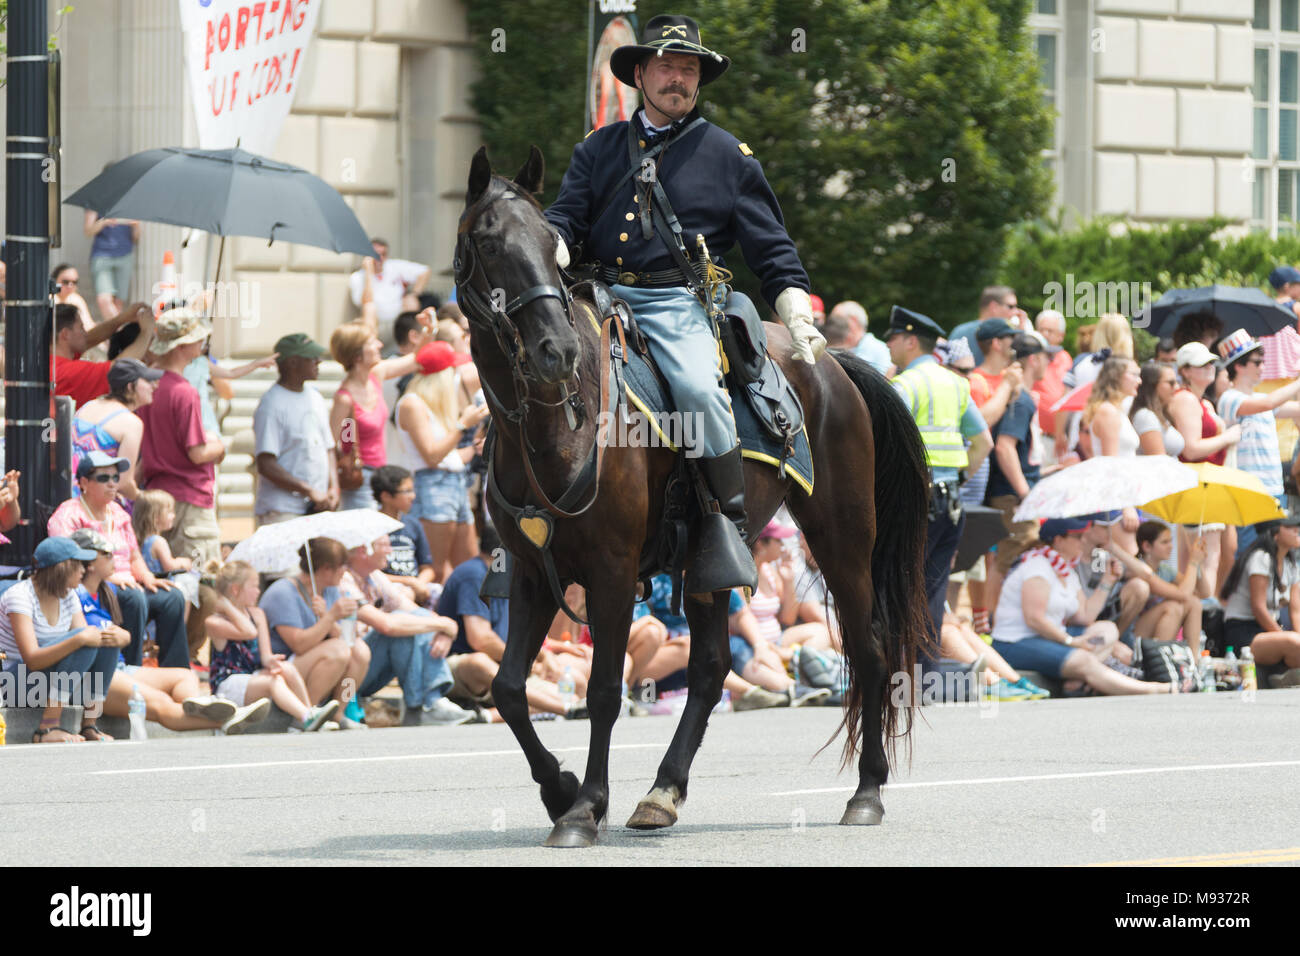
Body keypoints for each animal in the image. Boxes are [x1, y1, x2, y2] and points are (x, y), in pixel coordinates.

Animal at [457, 145, 935, 848]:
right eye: (489, 243)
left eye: (550, 244)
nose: (556, 351)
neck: (555, 427)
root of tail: (833, 365)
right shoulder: (531, 570)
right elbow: (509, 688)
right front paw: (560, 789)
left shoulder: (610, 571)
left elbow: (604, 690)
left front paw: (584, 806)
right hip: (712, 558)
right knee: (710, 670)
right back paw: (663, 791)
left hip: (842, 538)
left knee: (870, 651)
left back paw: (867, 791)